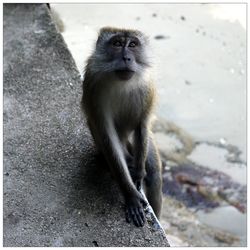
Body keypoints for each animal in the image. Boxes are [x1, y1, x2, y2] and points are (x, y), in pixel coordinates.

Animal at [80, 26, 162, 227]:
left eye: (132, 45)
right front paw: (130, 195)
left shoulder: (147, 86)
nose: (126, 58)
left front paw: (138, 173)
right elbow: (107, 135)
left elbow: (142, 124)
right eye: (117, 43)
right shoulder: (93, 84)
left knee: (154, 175)